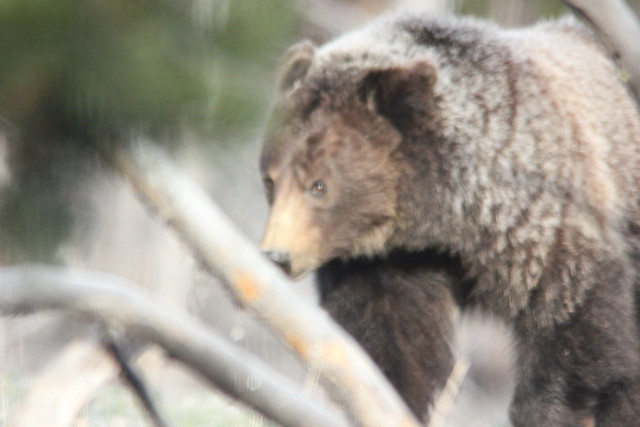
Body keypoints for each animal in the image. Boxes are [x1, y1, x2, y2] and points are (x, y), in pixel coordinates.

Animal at [258, 12, 640, 424]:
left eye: (319, 185)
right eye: (270, 179)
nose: (277, 256)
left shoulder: (540, 219)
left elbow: (572, 320)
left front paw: (548, 410)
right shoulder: (390, 265)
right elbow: (394, 341)